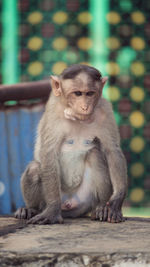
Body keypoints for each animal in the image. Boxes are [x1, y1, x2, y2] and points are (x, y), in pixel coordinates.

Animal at [14, 64, 127, 224]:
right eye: (77, 93)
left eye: (90, 93)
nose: (85, 106)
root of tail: (68, 203)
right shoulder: (53, 111)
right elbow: (49, 153)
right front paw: (52, 211)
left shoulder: (105, 110)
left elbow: (113, 150)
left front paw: (116, 202)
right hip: (49, 199)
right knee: (35, 169)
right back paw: (31, 209)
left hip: (85, 199)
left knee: (95, 154)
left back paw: (100, 208)